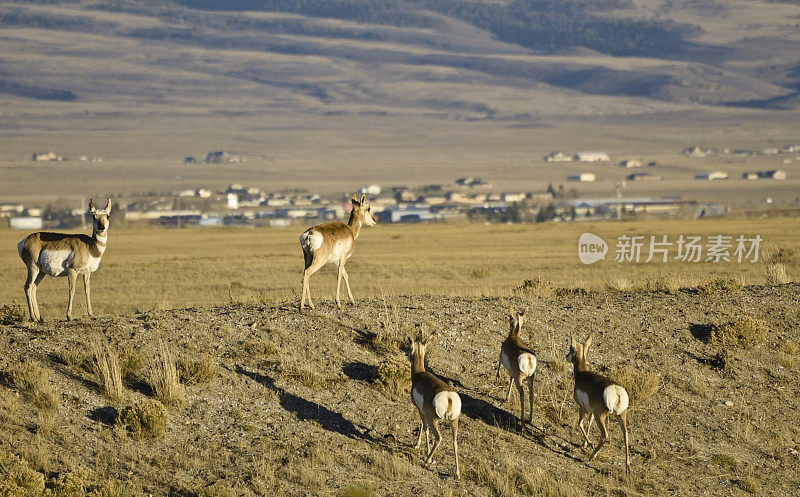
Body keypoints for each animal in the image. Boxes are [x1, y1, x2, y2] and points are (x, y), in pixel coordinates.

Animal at [406, 338, 462, 476]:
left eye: (409, 347)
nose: (406, 354)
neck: (419, 374)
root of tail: (448, 397)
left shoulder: (421, 411)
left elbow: (423, 427)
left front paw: (418, 446)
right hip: (454, 423)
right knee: (455, 443)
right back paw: (457, 473)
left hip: (434, 420)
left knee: (438, 437)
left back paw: (427, 461)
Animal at [564, 334, 628, 468]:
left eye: (570, 348)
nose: (566, 356)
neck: (582, 374)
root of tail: (616, 390)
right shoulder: (591, 411)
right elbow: (589, 424)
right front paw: (584, 444)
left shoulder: (582, 407)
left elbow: (580, 424)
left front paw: (589, 443)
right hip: (621, 415)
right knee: (626, 435)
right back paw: (627, 466)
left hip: (601, 416)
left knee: (605, 435)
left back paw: (592, 456)